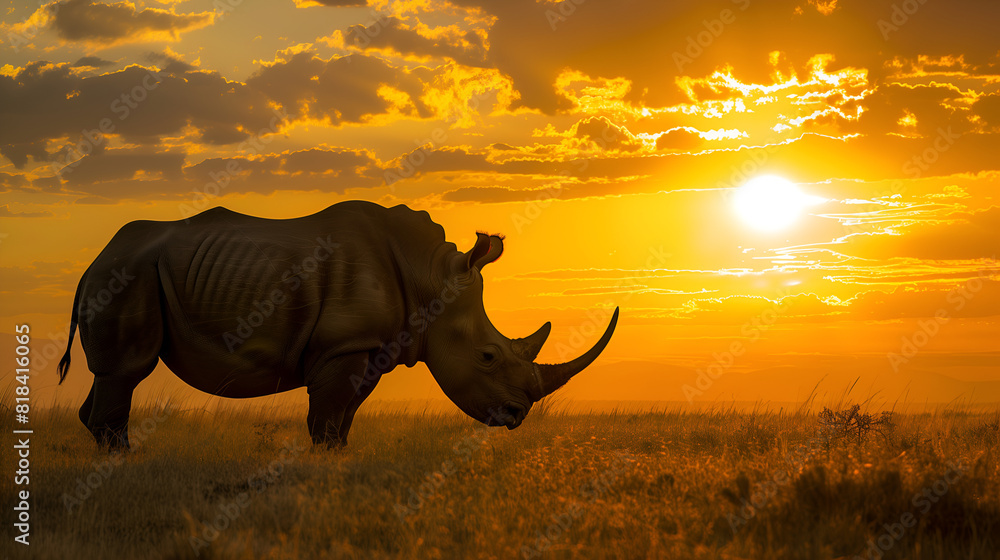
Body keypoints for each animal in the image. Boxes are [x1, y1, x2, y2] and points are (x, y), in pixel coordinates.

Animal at [57, 201, 619, 449]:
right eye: (487, 356)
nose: (516, 416)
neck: (429, 279)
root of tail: (93, 262)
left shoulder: (369, 347)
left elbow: (344, 417)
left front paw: (337, 462)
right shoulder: (343, 345)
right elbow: (327, 418)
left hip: (129, 272)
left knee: (111, 378)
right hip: (126, 275)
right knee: (127, 371)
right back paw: (124, 467)